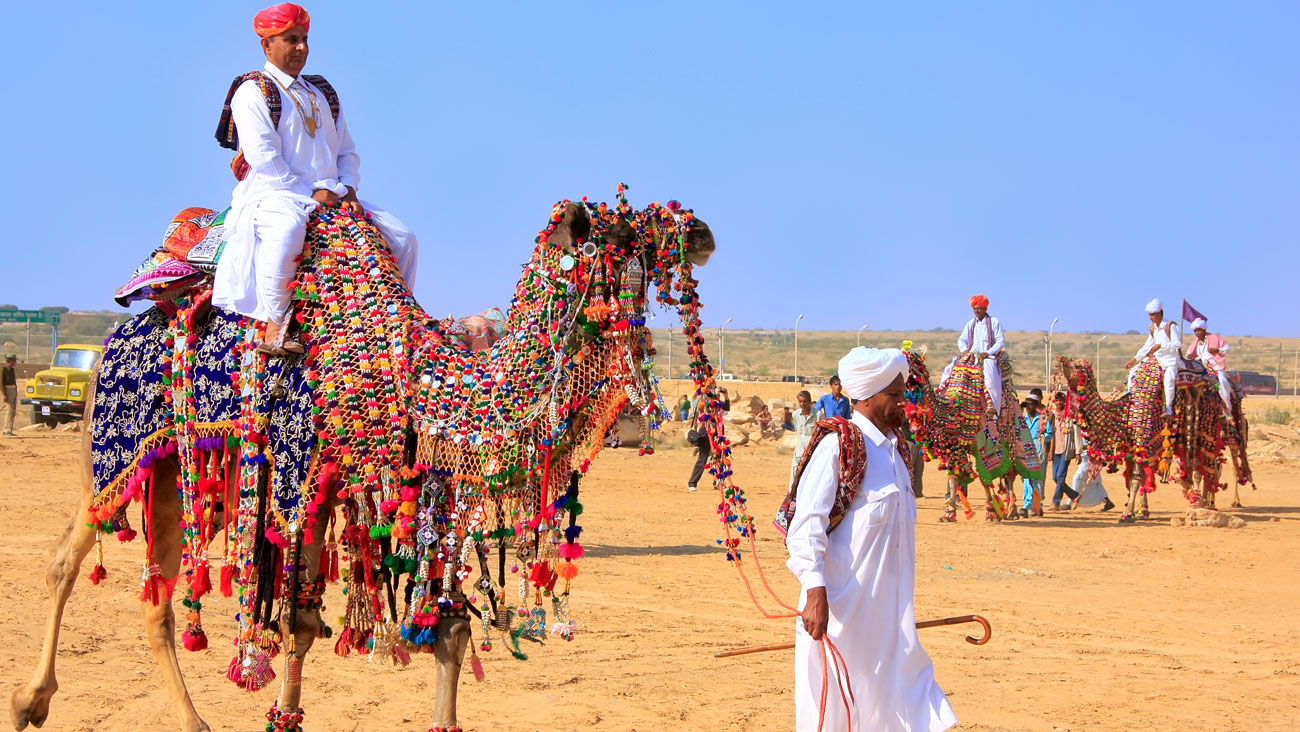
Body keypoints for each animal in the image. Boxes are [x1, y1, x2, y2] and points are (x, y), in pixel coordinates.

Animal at [10, 191, 717, 732]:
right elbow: (297, 619)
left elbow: (449, 626)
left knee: (153, 596)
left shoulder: (435, 487)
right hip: (114, 453)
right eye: (610, 243)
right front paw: (282, 716)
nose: (702, 234)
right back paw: (31, 700)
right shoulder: (305, 483)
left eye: (647, 244)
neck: (433, 378)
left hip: (170, 476)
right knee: (66, 560)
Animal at [1050, 356, 1253, 520]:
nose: (1059, 359)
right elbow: (1140, 477)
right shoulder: (1135, 445)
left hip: (1204, 428)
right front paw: (1142, 511)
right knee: (1203, 467)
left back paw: (1202, 504)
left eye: (1076, 364)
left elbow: (1136, 478)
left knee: (1205, 467)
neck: (1124, 411)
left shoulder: (1144, 440)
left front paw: (1127, 514)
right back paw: (1202, 502)